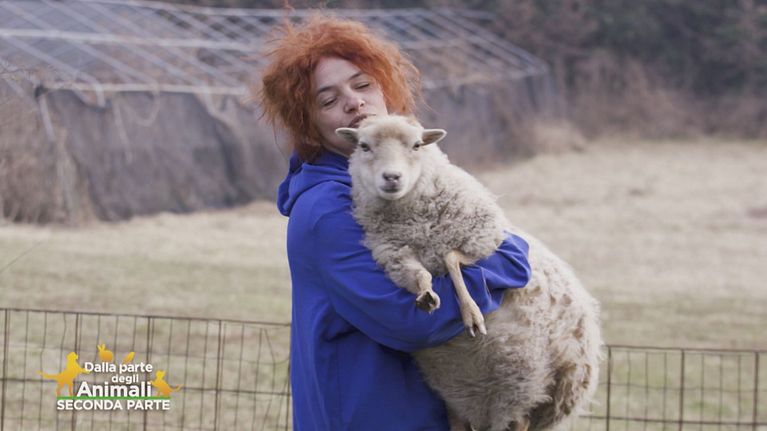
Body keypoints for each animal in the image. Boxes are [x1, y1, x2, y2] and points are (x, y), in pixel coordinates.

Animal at [335, 114, 602, 431]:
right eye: (364, 146)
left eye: (417, 145)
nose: (391, 177)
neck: (412, 225)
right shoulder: (394, 255)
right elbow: (420, 276)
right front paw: (426, 295)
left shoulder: (485, 240)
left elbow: (451, 258)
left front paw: (471, 313)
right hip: (461, 397)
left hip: (528, 388)